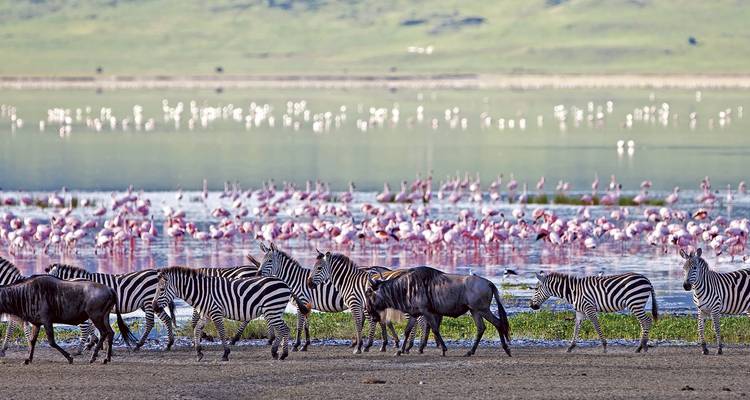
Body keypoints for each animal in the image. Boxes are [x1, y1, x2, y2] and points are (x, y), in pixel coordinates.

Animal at [46, 263, 175, 352]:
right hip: (152, 303)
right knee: (166, 319)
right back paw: (169, 343)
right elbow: (93, 327)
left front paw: (94, 343)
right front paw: (96, 343)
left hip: (149, 301)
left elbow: (90, 326)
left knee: (150, 323)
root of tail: (156, 272)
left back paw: (139, 345)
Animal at [152, 266, 296, 361]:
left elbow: (221, 333)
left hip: (272, 310)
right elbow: (197, 329)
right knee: (282, 329)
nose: (153, 307)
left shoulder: (216, 312)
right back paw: (275, 352)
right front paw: (199, 352)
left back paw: (283, 354)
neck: (202, 291)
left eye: (162, 289)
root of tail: (283, 283)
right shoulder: (206, 315)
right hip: (272, 311)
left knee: (285, 329)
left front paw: (225, 353)